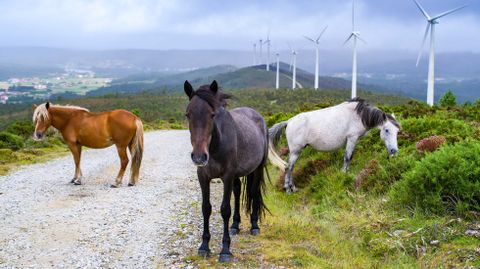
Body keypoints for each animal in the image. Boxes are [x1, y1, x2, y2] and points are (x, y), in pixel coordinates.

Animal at [184, 79, 268, 262]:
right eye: (188, 115)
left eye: (212, 114)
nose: (199, 157)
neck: (215, 145)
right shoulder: (203, 176)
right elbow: (206, 208)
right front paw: (204, 246)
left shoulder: (227, 177)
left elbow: (224, 209)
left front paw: (225, 250)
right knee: (237, 192)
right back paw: (235, 225)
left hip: (257, 169)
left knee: (254, 193)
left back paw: (254, 226)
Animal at [268, 97, 400, 192]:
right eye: (386, 130)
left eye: (397, 131)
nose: (394, 151)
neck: (359, 115)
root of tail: (288, 122)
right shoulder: (352, 138)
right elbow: (347, 157)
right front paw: (344, 174)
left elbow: (349, 157)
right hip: (296, 151)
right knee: (288, 167)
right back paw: (288, 189)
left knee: (290, 167)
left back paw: (293, 188)